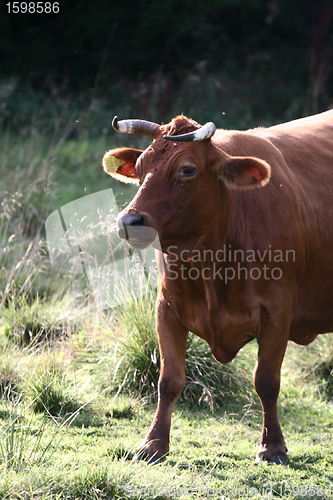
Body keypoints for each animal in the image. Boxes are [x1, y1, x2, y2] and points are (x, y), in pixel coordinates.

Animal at [101, 111, 332, 462]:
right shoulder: (166, 307)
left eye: (187, 170)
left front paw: (273, 446)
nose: (129, 222)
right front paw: (153, 443)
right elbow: (169, 379)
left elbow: (267, 380)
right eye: (139, 167)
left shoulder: (278, 312)